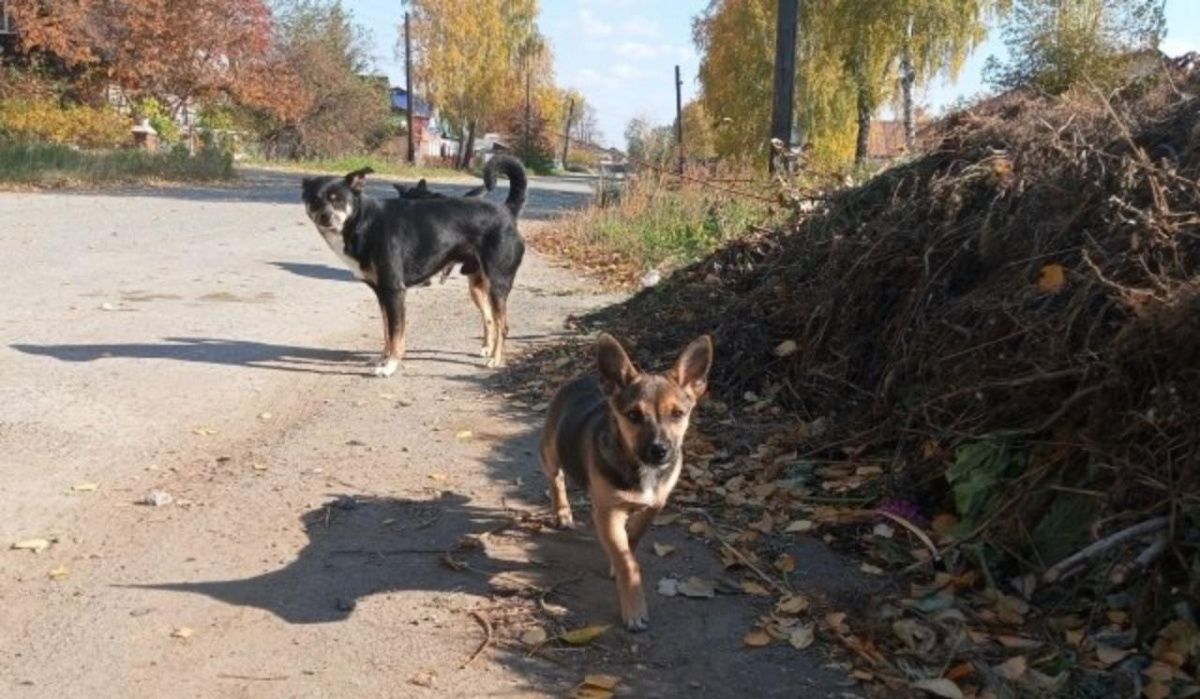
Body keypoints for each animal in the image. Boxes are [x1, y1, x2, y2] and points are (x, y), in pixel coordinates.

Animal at [300, 154, 525, 374]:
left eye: (337, 200)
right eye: (315, 200)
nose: (325, 217)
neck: (362, 222)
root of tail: (507, 210)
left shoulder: (394, 290)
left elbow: (395, 332)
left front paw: (390, 365)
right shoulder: (382, 294)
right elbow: (388, 331)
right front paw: (385, 358)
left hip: (497, 284)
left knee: (503, 325)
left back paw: (495, 360)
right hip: (477, 286)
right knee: (490, 319)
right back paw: (488, 350)